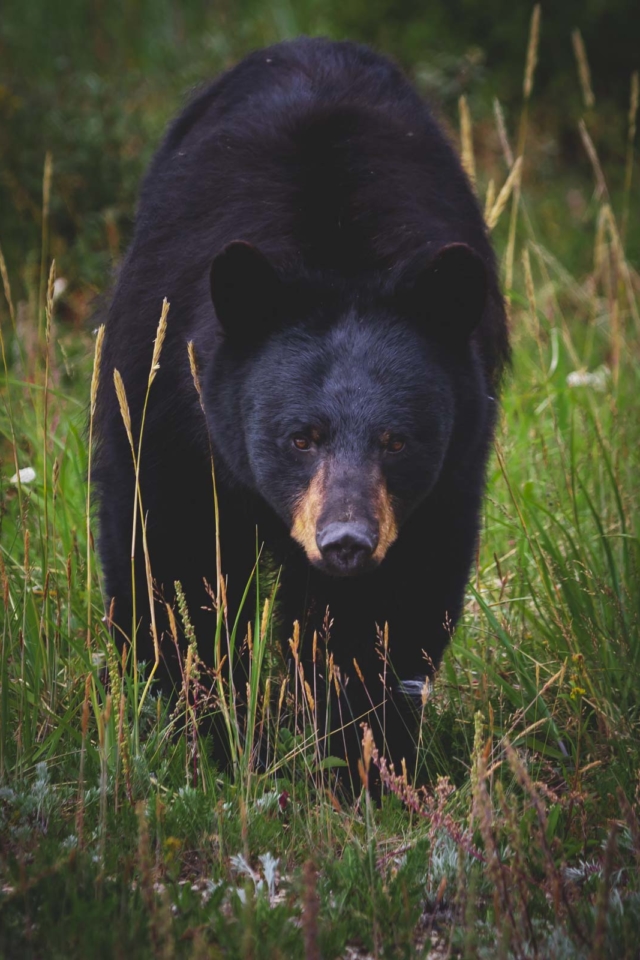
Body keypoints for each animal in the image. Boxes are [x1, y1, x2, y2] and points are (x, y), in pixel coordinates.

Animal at [92, 37, 508, 780]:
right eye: (300, 437)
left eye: (397, 440)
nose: (346, 542)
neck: (335, 252)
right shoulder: (167, 407)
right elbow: (168, 560)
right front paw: (209, 736)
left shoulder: (449, 467)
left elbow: (392, 611)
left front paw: (363, 759)